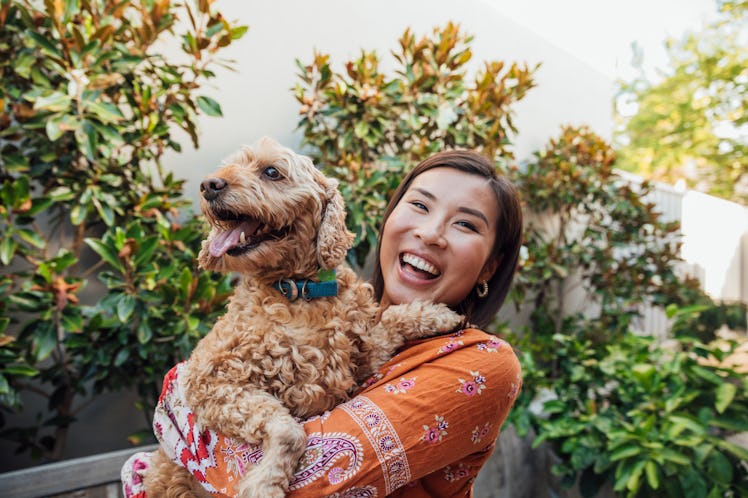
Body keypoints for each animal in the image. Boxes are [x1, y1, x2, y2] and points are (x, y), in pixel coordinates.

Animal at [142, 137, 462, 498]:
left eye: (271, 172)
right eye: (230, 166)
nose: (209, 185)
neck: (299, 290)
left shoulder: (361, 359)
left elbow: (391, 319)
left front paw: (438, 314)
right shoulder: (209, 378)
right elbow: (290, 431)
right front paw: (264, 484)